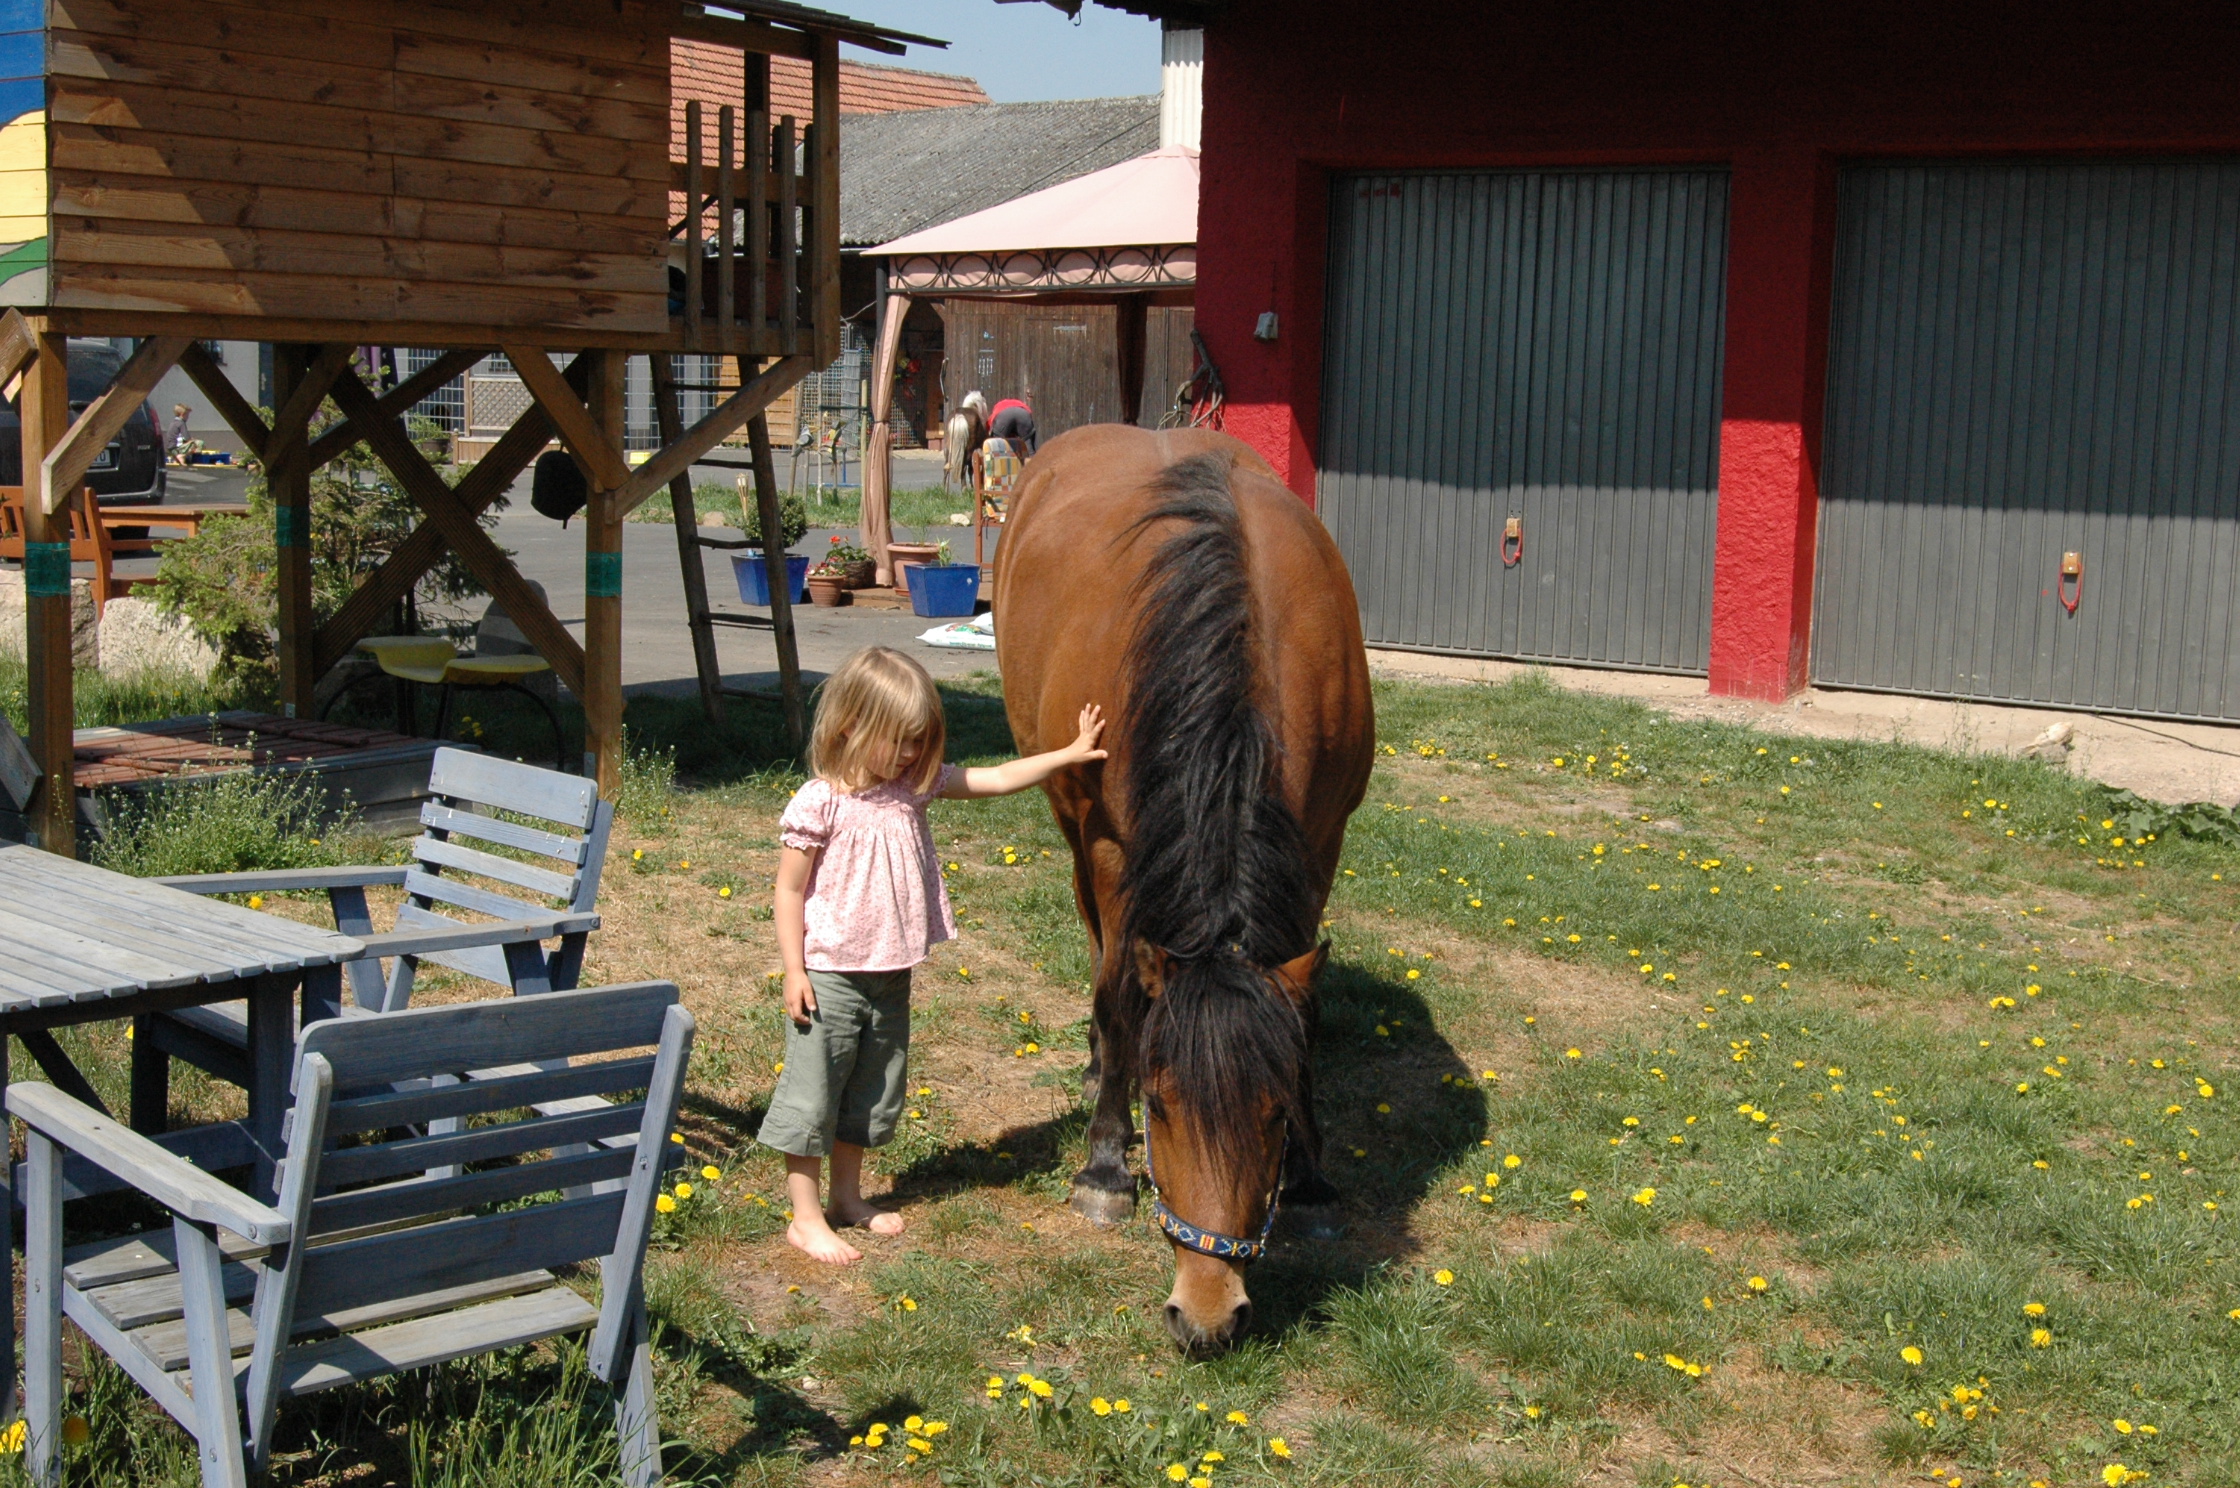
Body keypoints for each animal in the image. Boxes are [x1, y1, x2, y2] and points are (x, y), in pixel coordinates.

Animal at [995, 425, 1374, 1355]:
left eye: (1275, 1116)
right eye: (1161, 1109)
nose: (1207, 1315)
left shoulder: (1322, 840)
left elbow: (1303, 1009)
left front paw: (1312, 1177)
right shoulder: (1110, 843)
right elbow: (1121, 999)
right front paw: (1104, 1163)